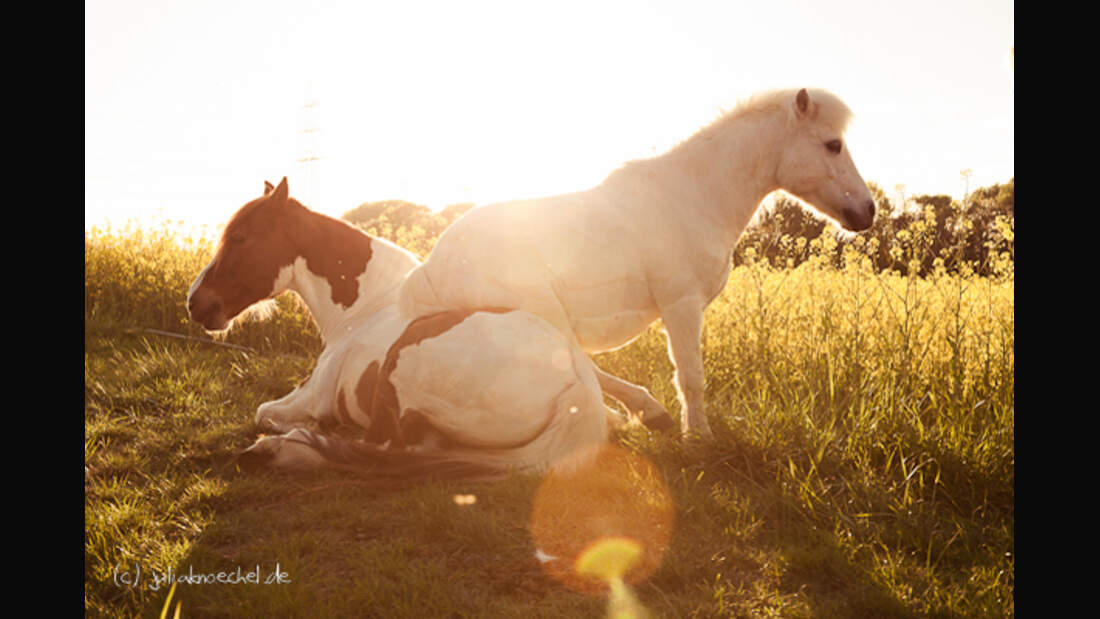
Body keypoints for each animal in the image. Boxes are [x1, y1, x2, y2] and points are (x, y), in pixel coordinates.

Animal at [183, 179, 607, 479]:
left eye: (240, 237)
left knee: (388, 449)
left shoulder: (314, 397)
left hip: (401, 364)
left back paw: (286, 447)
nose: (195, 302)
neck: (368, 306)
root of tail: (577, 381)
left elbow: (263, 412)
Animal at [402, 87, 875, 437]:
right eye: (833, 145)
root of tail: (431, 267)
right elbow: (690, 377)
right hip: (542, 314)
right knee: (579, 366)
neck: (694, 197)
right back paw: (646, 414)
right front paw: (697, 437)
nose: (867, 211)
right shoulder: (680, 305)